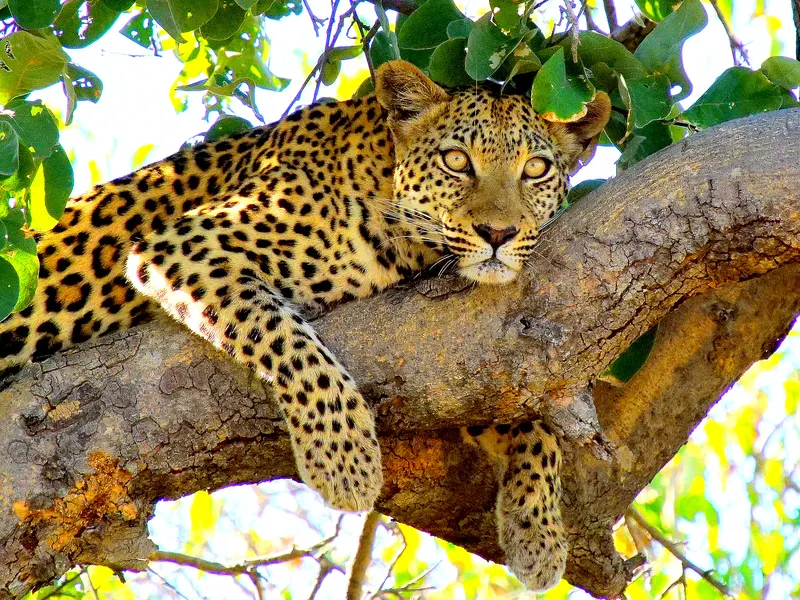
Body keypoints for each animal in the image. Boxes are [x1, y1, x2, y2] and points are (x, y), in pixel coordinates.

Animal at [0, 60, 610, 591]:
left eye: (536, 170)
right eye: (457, 161)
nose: (497, 233)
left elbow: (531, 415)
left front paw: (538, 532)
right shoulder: (186, 245)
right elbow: (291, 342)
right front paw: (346, 463)